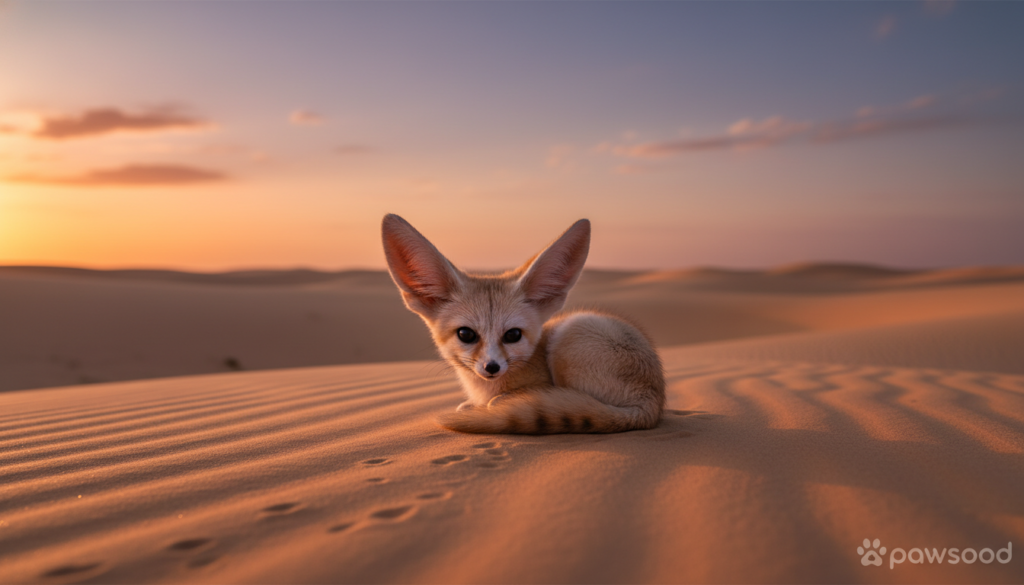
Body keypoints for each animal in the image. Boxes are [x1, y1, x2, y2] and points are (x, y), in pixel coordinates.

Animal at [381, 213, 665, 434]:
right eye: (466, 334)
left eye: (513, 335)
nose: (492, 367)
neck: (485, 389)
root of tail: (651, 405)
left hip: (569, 336)